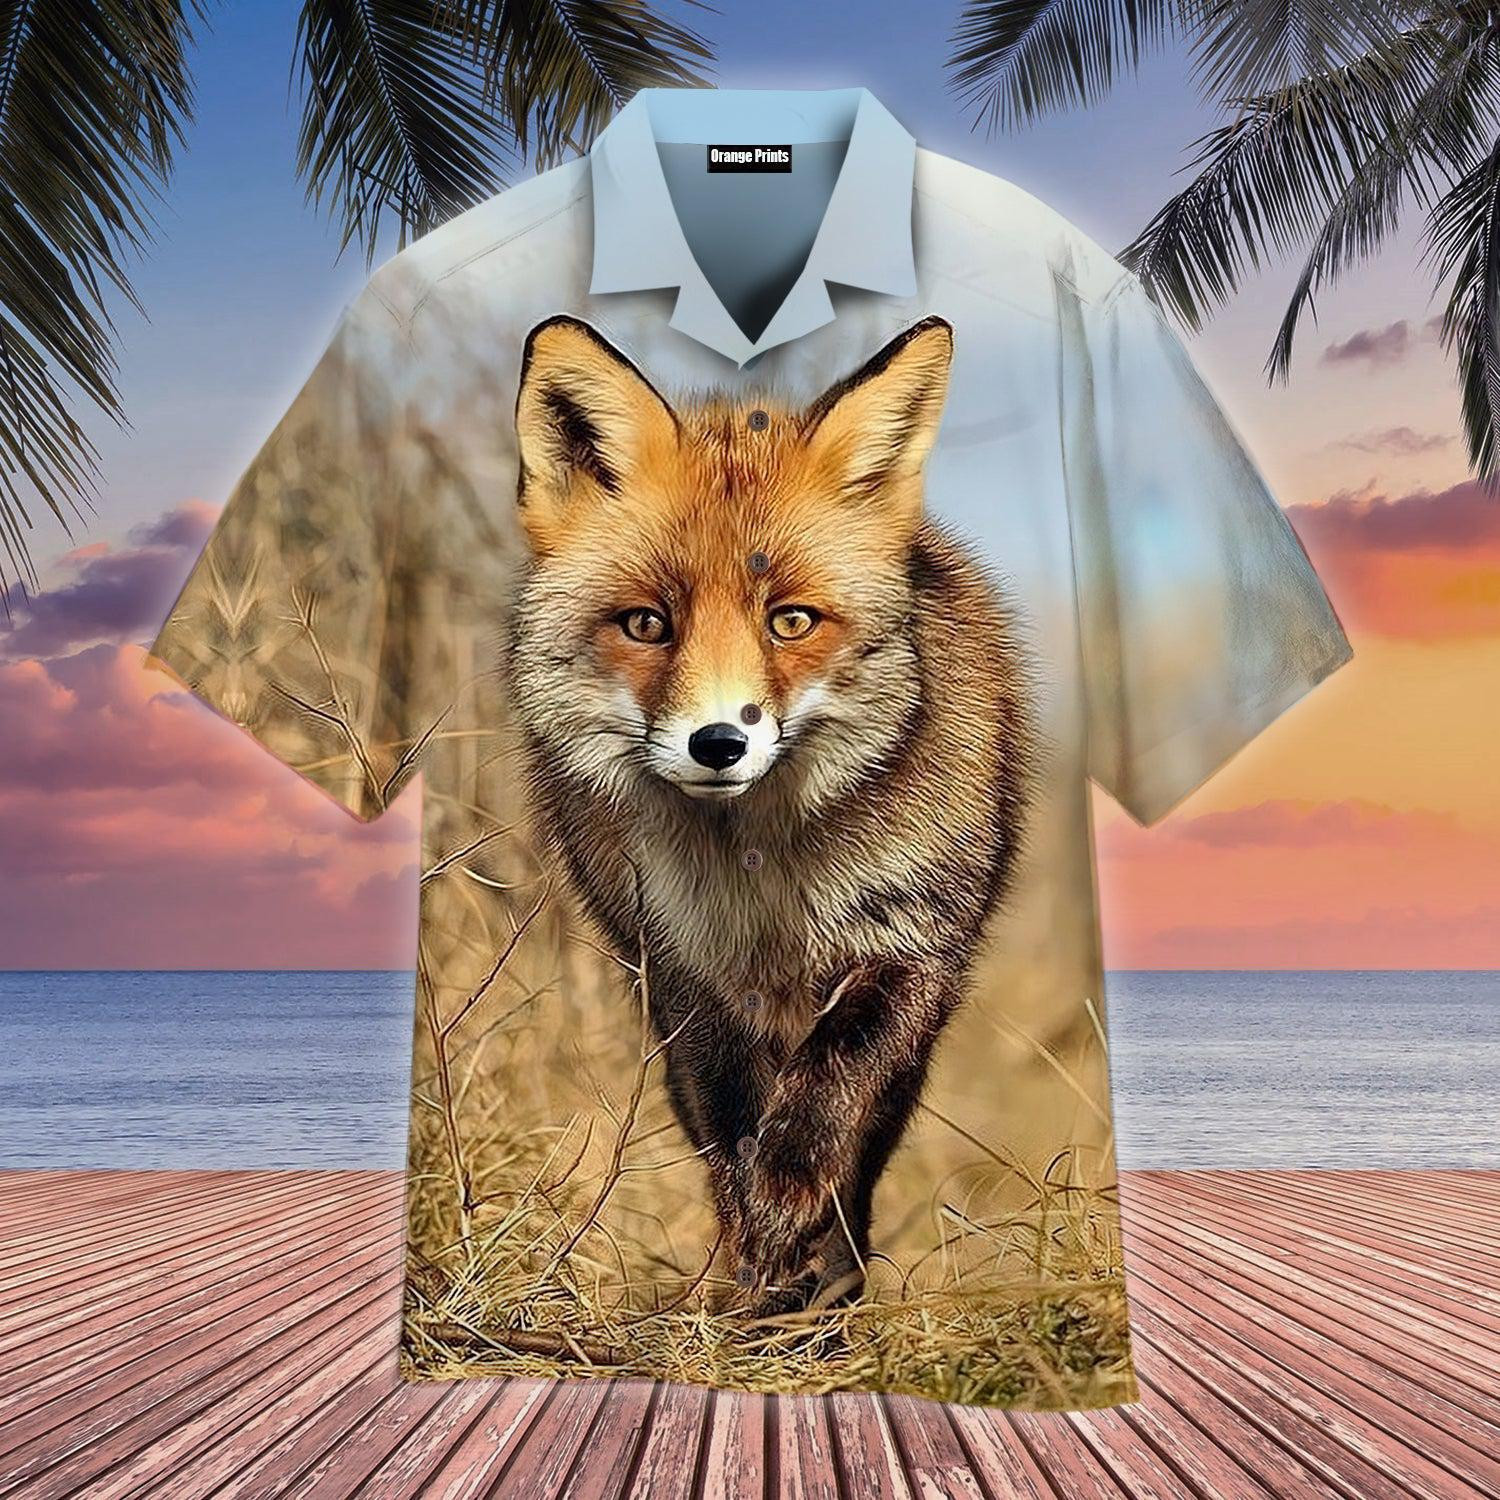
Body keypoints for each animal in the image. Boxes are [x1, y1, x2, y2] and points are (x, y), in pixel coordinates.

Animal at [507, 313, 1033, 1315]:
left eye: (790, 621)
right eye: (647, 624)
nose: (718, 742)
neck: (762, 887)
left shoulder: (908, 946)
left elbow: (829, 1090)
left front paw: (794, 1208)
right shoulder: (684, 974)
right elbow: (731, 1131)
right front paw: (757, 1266)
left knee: (861, 1161)